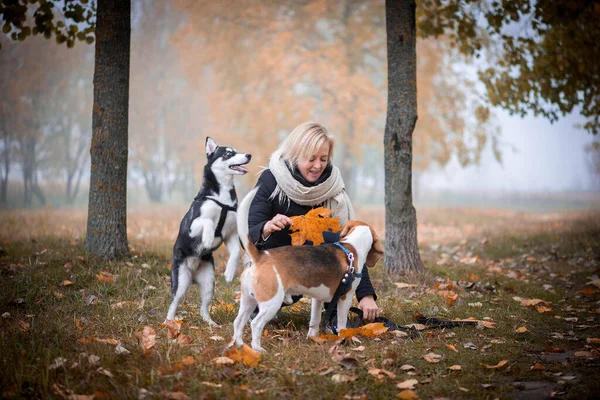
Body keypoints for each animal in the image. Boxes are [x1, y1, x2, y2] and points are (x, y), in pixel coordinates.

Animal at [164, 138, 251, 324]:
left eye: (238, 150)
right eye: (228, 153)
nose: (249, 155)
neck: (222, 197)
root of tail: (193, 272)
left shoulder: (230, 234)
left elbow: (236, 253)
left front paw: (230, 272)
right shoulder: (193, 225)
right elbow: (209, 222)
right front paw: (209, 239)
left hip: (209, 283)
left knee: (203, 307)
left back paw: (210, 322)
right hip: (180, 281)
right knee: (174, 302)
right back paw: (168, 322)